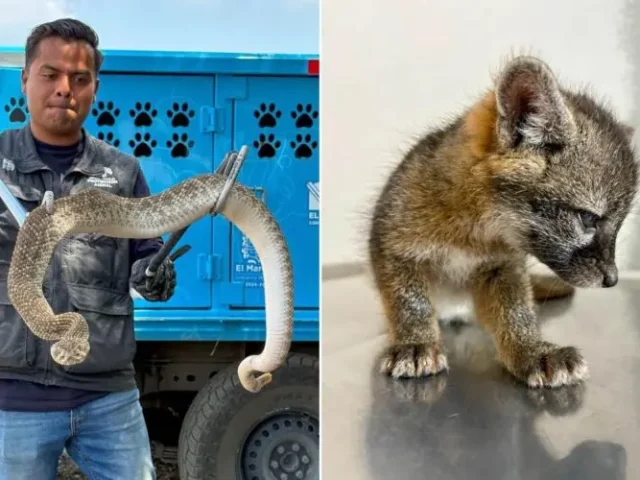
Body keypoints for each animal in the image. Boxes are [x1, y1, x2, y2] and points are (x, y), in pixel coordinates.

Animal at [368, 55, 639, 388]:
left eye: (619, 223)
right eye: (589, 219)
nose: (612, 280)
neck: (471, 234)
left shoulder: (503, 268)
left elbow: (516, 313)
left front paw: (531, 351)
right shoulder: (392, 245)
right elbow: (408, 302)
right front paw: (415, 342)